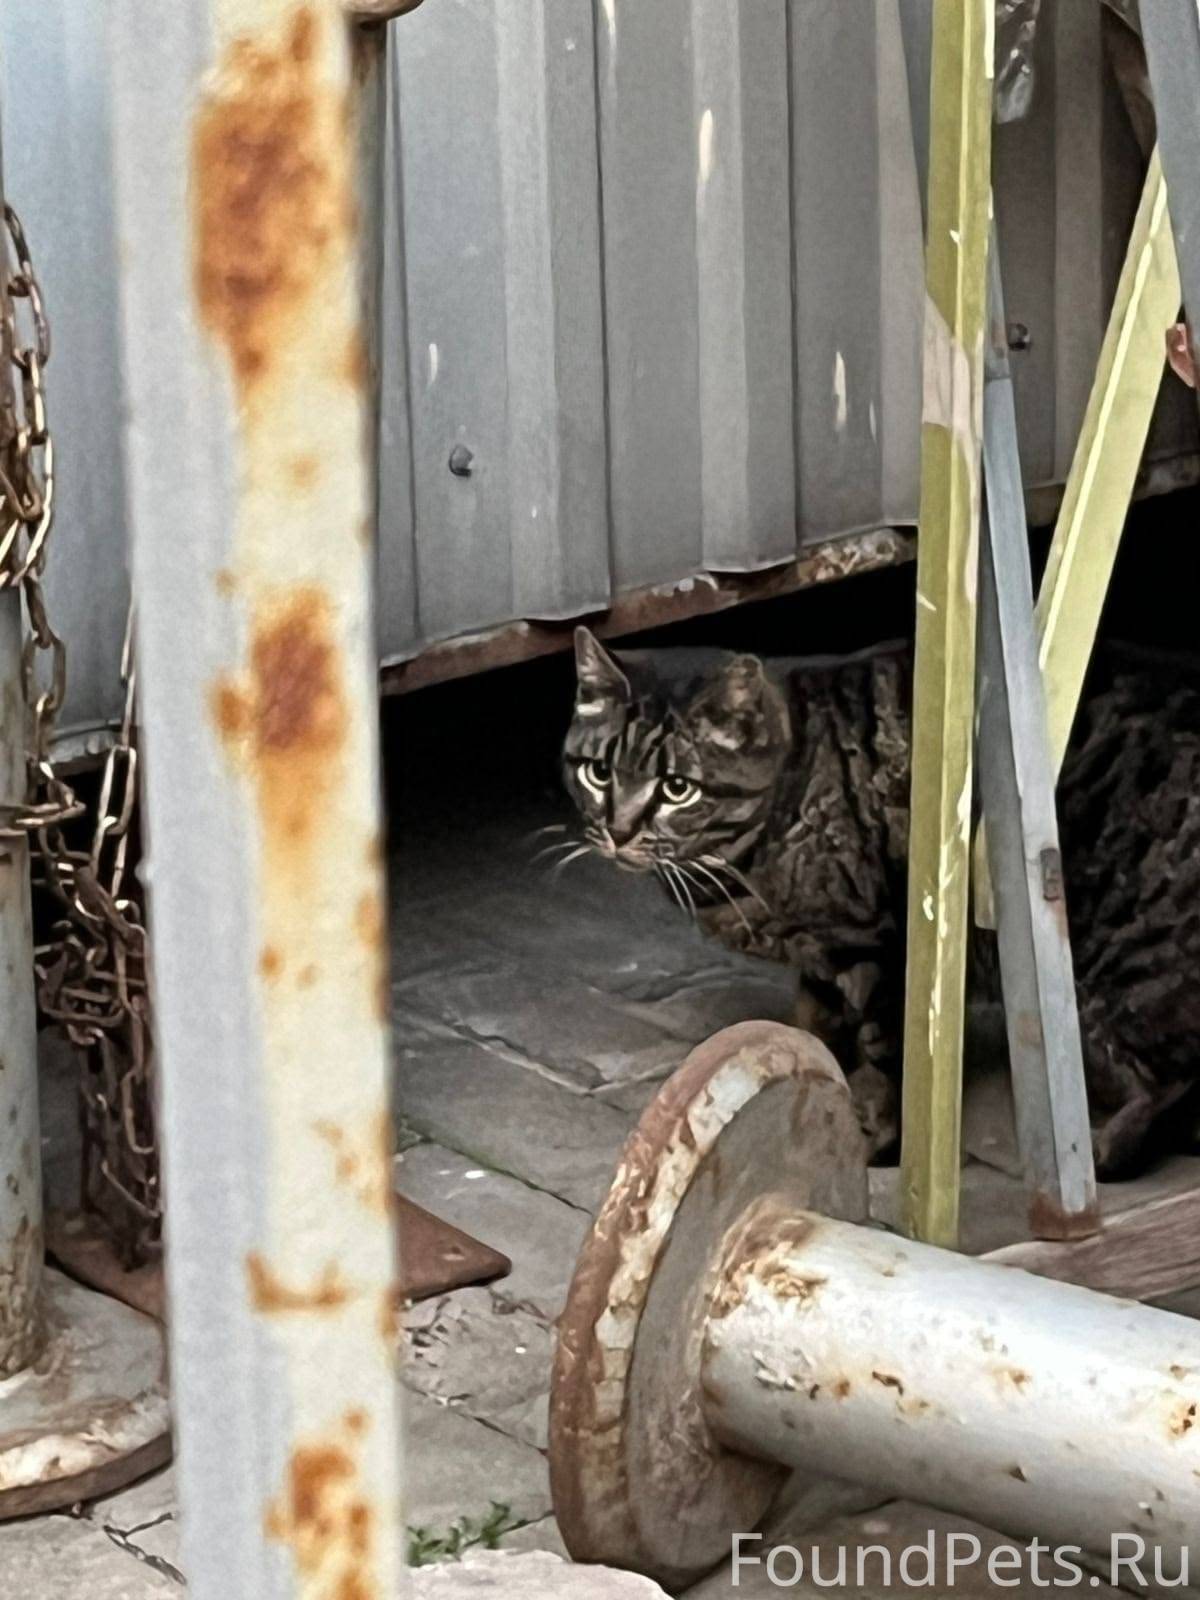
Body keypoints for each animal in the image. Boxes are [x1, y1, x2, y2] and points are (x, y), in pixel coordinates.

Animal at [562, 626, 1200, 1177]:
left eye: (677, 788)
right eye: (597, 773)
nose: (618, 830)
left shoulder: (884, 948)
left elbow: (888, 1058)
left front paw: (879, 1141)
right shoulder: (821, 959)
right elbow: (818, 1029)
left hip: (1116, 964)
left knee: (1173, 1079)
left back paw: (1110, 1147)